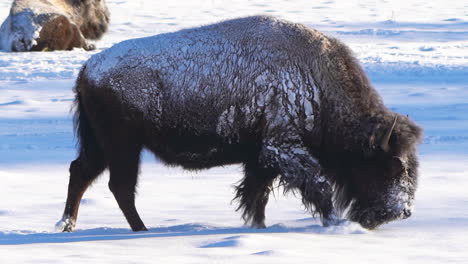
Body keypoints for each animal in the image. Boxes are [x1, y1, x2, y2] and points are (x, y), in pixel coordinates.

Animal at [56, 15, 422, 232]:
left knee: (82, 172)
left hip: (101, 145)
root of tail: (88, 68)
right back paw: (140, 230)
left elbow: (255, 194)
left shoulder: (261, 157)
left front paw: (256, 226)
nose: (401, 212)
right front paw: (332, 223)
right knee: (119, 186)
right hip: (123, 147)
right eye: (390, 165)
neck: (317, 81)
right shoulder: (283, 149)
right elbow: (316, 186)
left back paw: (68, 225)